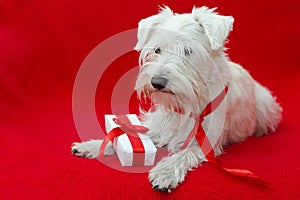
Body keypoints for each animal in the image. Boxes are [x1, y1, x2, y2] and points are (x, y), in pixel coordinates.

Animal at [71, 6, 282, 193]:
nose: (157, 82)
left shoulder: (203, 141)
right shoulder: (158, 125)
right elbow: (130, 133)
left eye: (188, 50)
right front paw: (92, 145)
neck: (185, 104)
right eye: (157, 50)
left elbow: (182, 155)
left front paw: (165, 173)